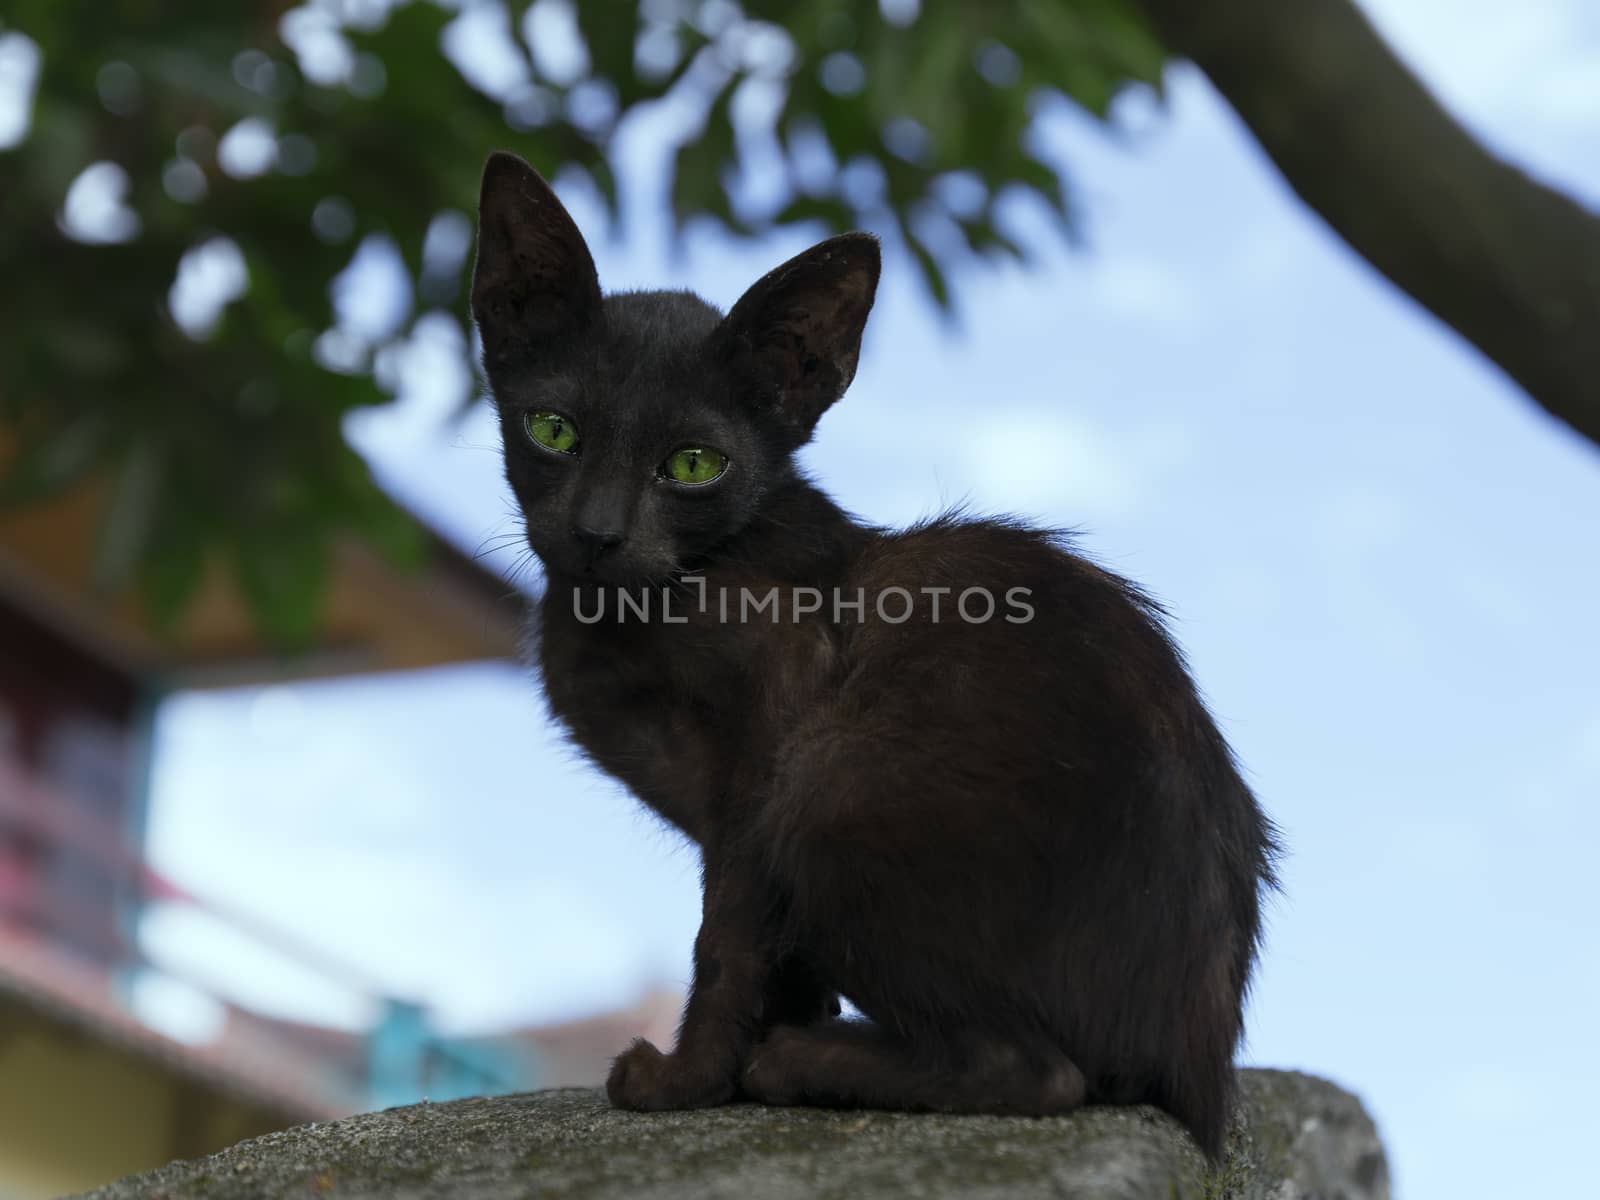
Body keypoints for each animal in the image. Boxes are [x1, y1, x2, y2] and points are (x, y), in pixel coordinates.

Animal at [470, 152, 1273, 1164]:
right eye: (554, 431)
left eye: (692, 466)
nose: (597, 533)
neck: (621, 612)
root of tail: (1199, 1075)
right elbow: (772, 956)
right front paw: (752, 1049)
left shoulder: (770, 734)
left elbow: (725, 939)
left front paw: (688, 1083)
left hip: (828, 786)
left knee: (1043, 1074)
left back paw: (802, 1064)